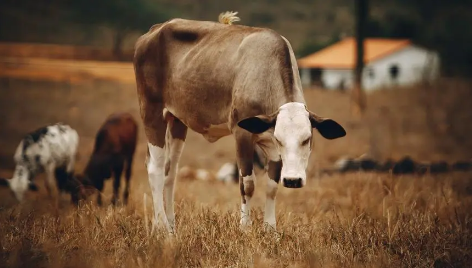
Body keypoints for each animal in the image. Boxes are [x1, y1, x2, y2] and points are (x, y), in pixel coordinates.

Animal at [134, 11, 346, 232]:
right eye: (281, 139)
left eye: (307, 139)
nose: (293, 180)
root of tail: (156, 29)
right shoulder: (242, 134)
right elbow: (248, 185)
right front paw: (245, 227)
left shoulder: (270, 145)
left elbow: (272, 187)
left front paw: (270, 229)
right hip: (151, 112)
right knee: (155, 169)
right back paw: (161, 226)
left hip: (177, 121)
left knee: (170, 172)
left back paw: (171, 226)